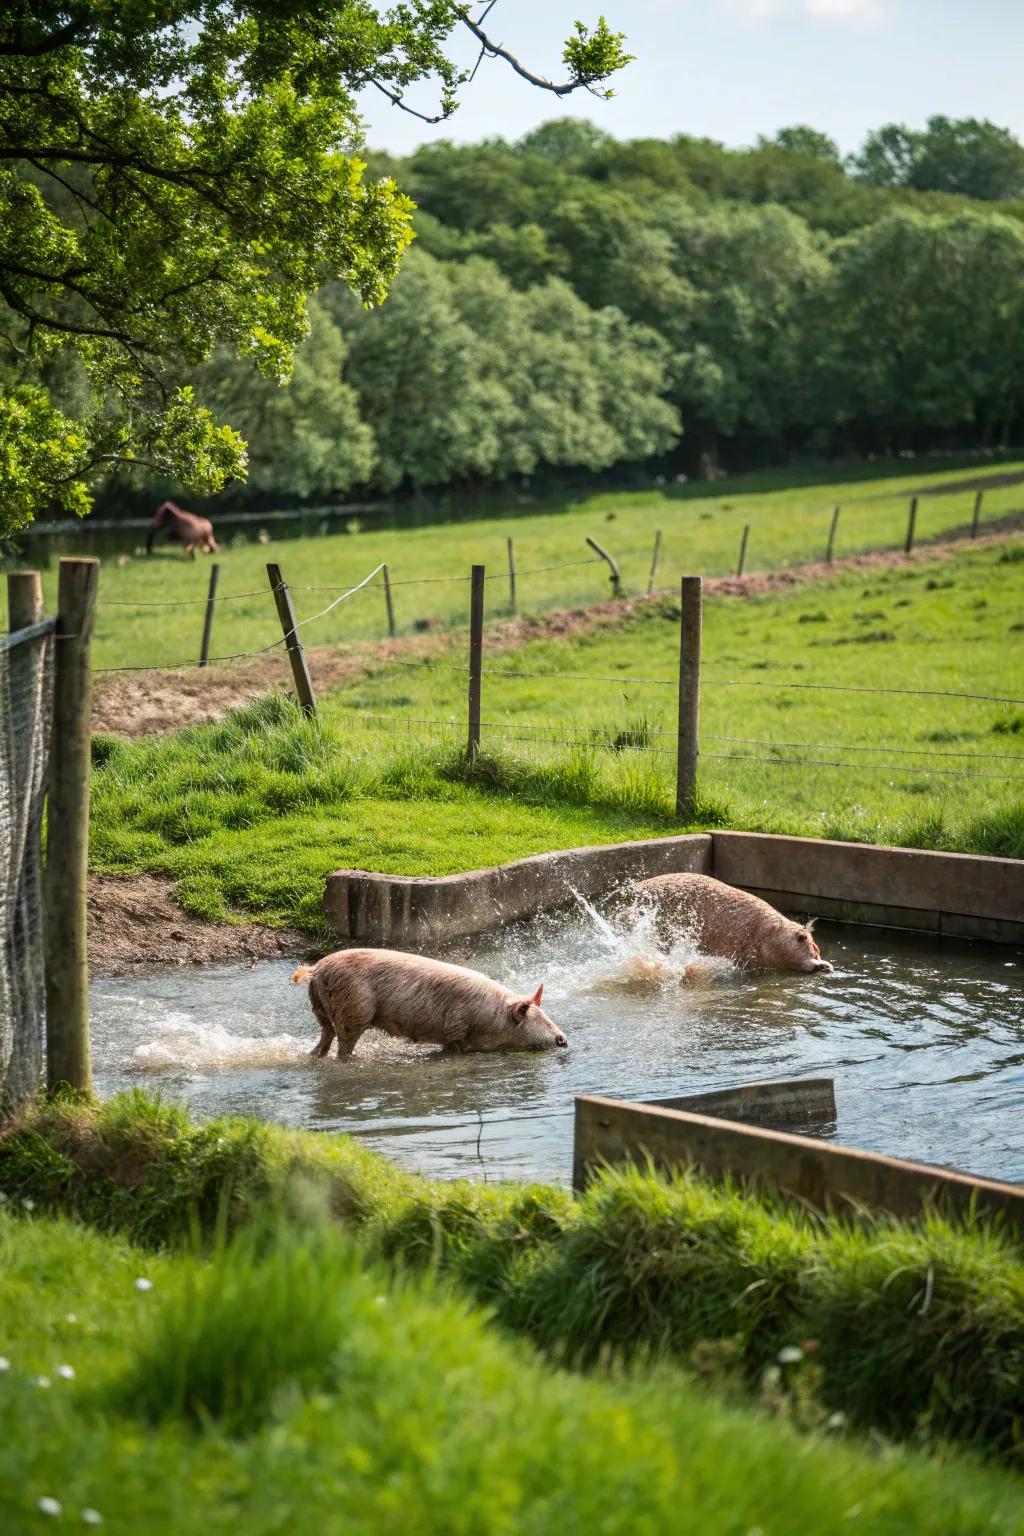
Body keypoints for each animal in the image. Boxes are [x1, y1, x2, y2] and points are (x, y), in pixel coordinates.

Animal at [292, 948, 569, 1058]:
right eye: (538, 1018)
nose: (563, 1039)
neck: (491, 1016)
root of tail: (317, 968)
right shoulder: (456, 1027)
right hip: (354, 1009)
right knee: (343, 1044)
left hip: (320, 1006)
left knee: (325, 1035)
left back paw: (314, 1055)